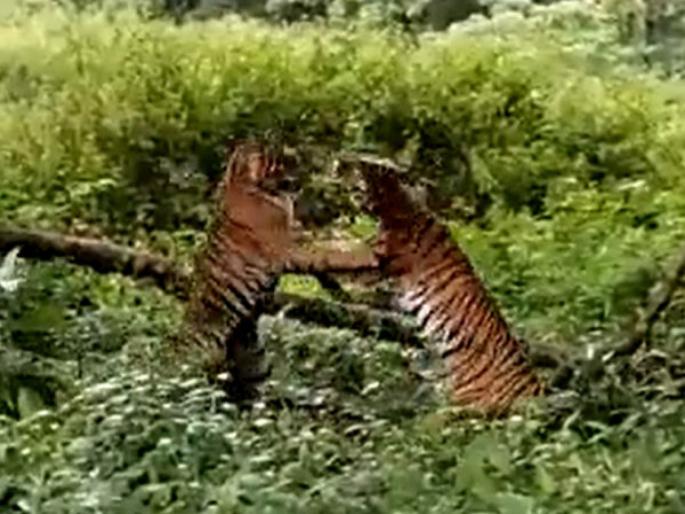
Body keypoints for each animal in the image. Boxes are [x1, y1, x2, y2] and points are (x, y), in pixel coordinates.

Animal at [347, 155, 544, 415]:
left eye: (360, 166)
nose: (340, 164)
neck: (400, 205)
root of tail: (534, 387)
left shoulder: (376, 260)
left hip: (465, 399)